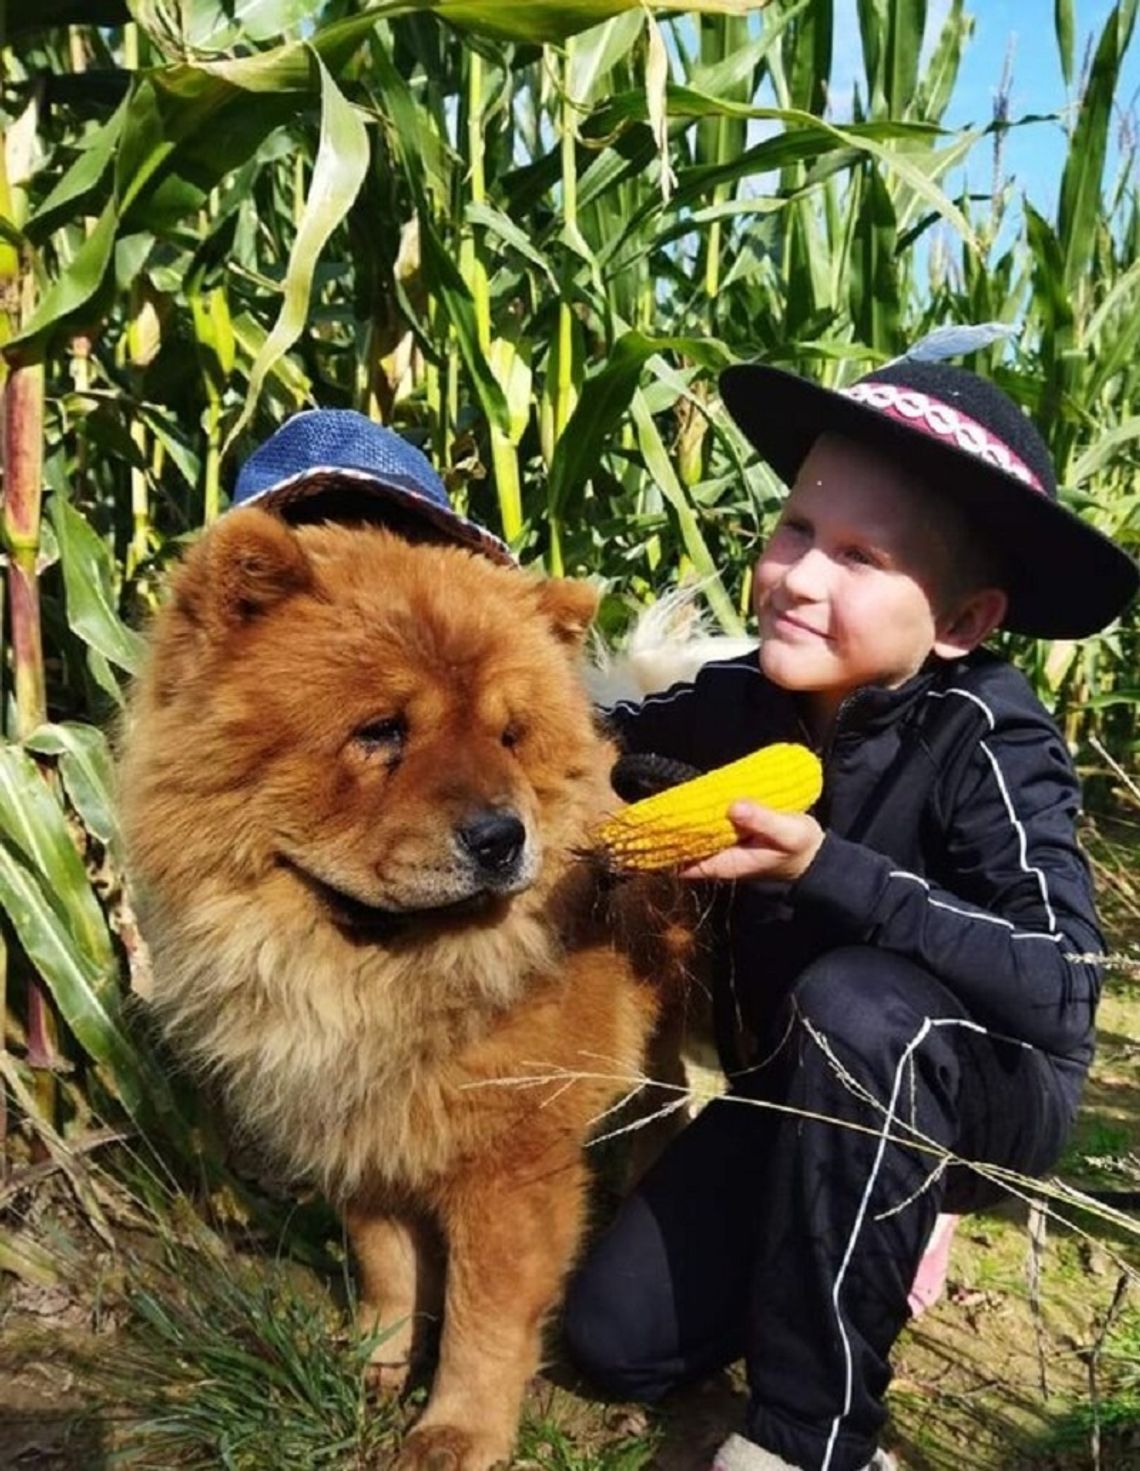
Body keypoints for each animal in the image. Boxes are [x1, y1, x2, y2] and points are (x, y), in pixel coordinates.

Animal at [122, 508, 694, 1471]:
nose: (502, 836)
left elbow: (483, 1314)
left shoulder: (509, 1163)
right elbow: (388, 1262)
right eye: (382, 731)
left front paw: (456, 1431)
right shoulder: (360, 1131)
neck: (377, 978)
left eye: (509, 737)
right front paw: (371, 1364)